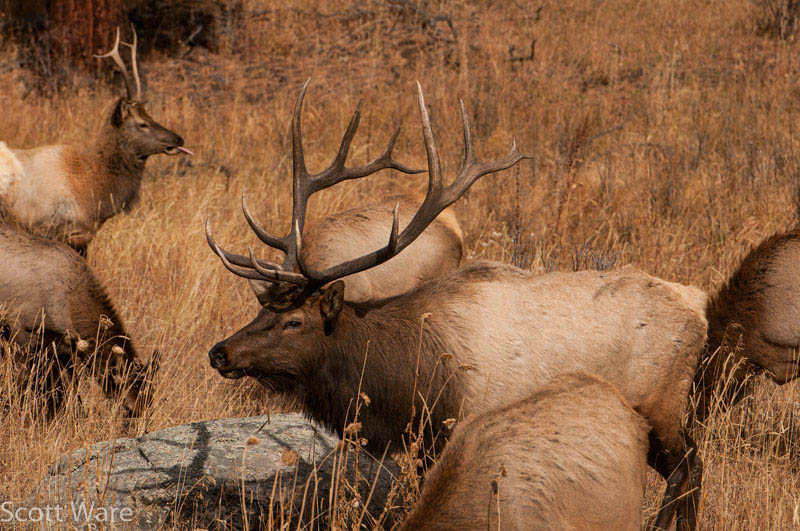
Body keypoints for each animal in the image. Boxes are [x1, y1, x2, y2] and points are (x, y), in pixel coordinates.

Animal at [0, 223, 158, 418]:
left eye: (150, 402)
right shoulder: (20, 333)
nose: (139, 416)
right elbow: (23, 383)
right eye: (130, 410)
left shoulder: (61, 349)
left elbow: (69, 391)